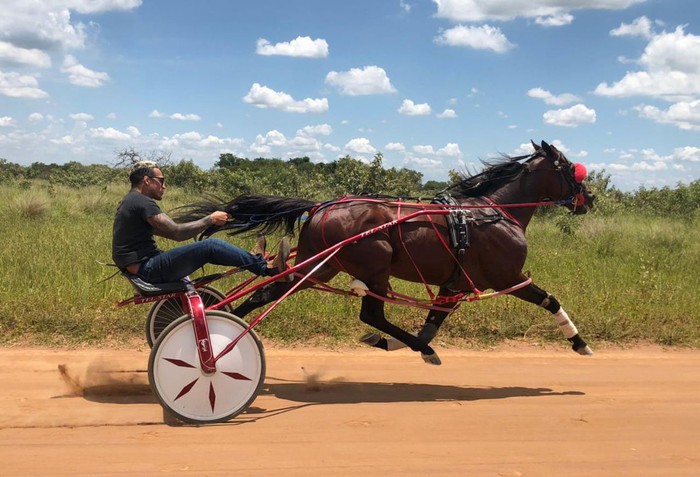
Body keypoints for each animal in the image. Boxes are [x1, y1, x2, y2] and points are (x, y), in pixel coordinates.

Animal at [178, 139, 592, 362]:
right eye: (572, 168)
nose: (588, 199)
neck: (493, 213)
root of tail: (321, 206)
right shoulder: (507, 276)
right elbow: (550, 300)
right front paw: (580, 343)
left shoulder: (454, 283)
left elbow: (433, 323)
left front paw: (406, 344)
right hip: (373, 263)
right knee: (371, 314)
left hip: (321, 266)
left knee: (264, 293)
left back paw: (225, 324)